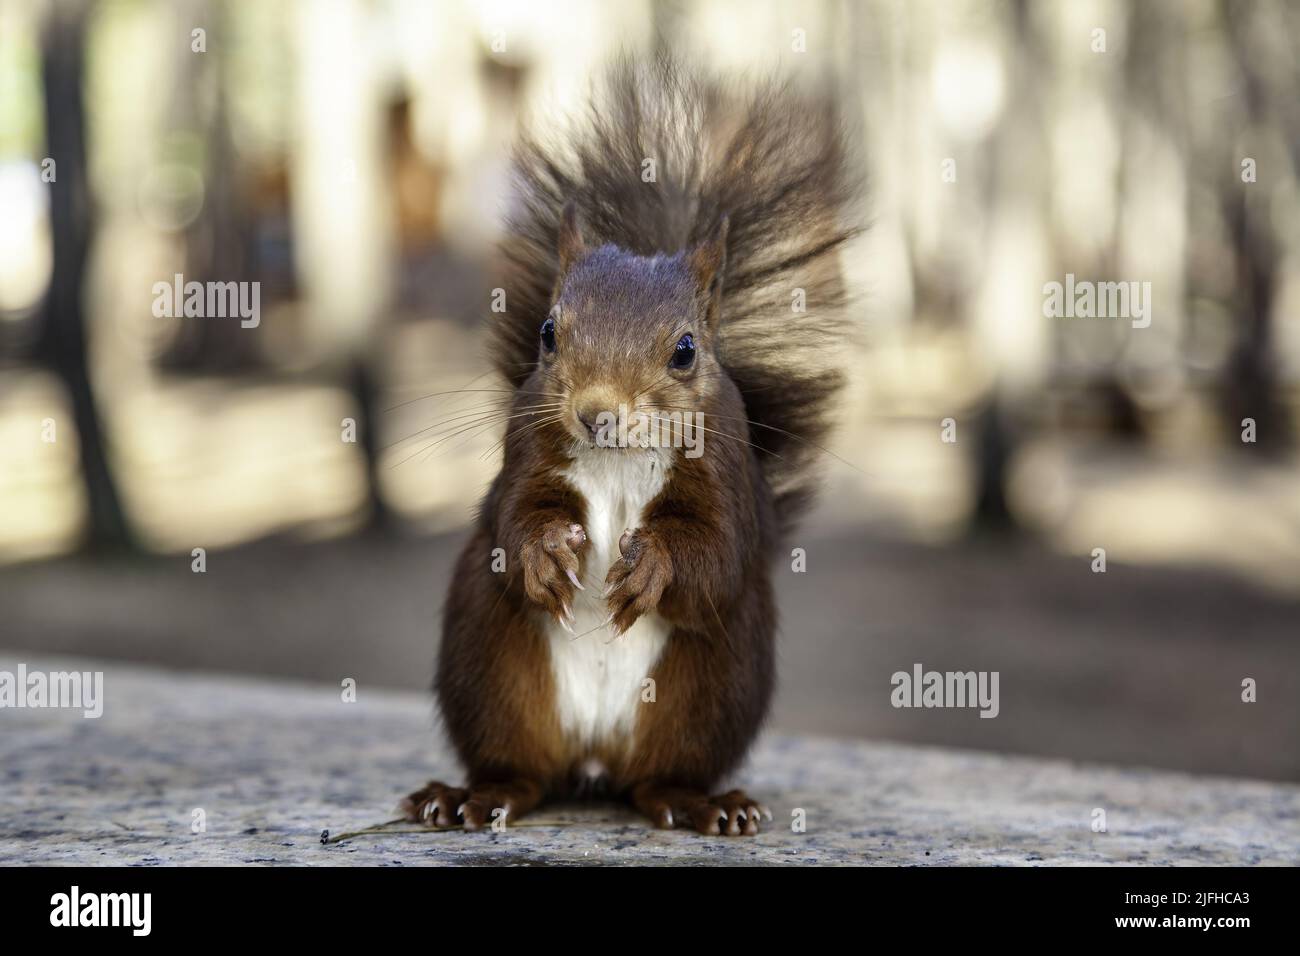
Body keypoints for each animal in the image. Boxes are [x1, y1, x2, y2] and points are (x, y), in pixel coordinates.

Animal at [400, 57, 857, 837]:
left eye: (685, 350)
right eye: (548, 333)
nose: (596, 414)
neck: (614, 461)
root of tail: (594, 755)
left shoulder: (727, 475)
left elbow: (714, 553)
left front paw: (651, 565)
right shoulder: (526, 452)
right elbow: (511, 520)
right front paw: (545, 553)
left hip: (710, 689)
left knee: (657, 780)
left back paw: (704, 804)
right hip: (491, 672)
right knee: (524, 772)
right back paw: (473, 796)